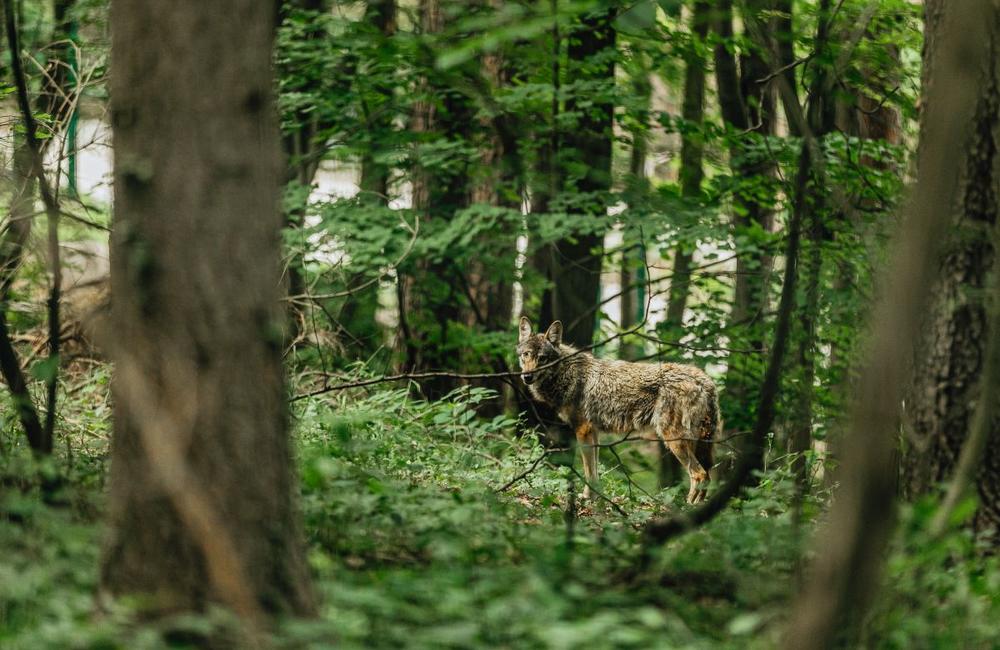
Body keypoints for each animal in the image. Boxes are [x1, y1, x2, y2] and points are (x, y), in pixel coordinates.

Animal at [516, 316, 720, 504]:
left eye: (542, 358)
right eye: (526, 355)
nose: (527, 377)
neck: (567, 373)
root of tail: (705, 380)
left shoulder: (583, 430)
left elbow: (588, 471)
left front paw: (587, 499)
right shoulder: (593, 432)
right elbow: (595, 471)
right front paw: (595, 498)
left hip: (674, 441)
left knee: (699, 474)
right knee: (708, 476)